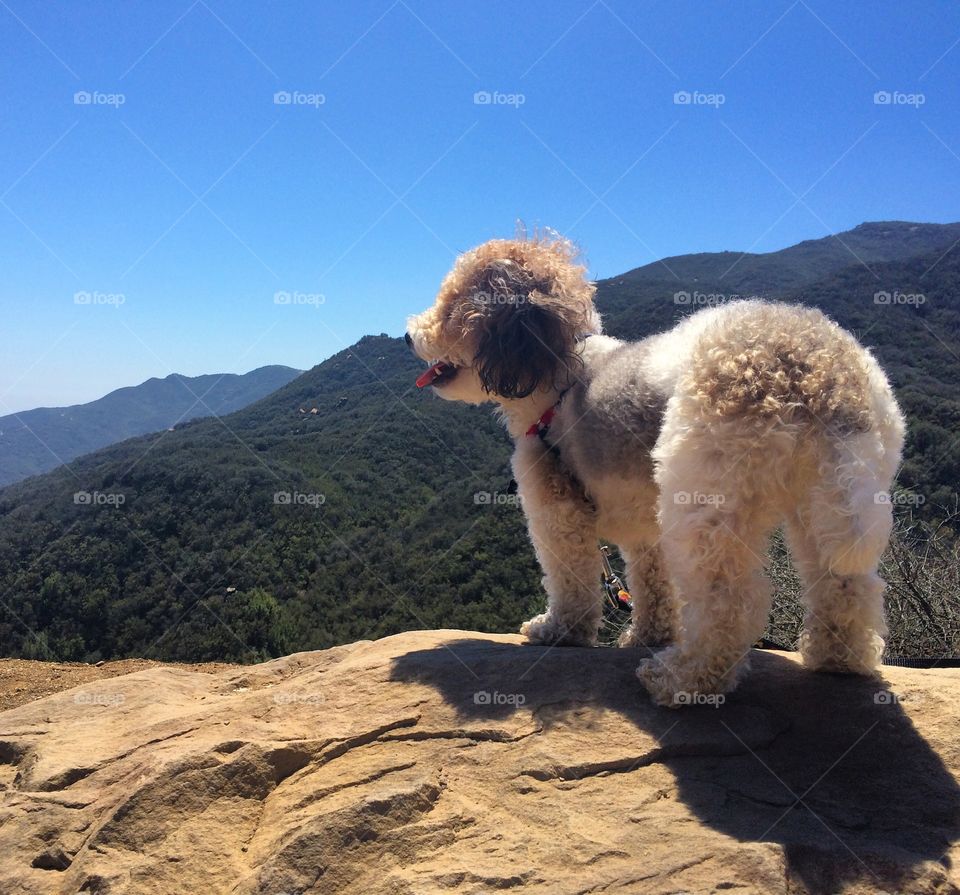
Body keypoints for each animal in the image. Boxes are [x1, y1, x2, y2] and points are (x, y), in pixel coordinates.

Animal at [404, 233, 900, 708]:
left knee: (729, 601)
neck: (558, 375)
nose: (408, 336)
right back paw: (837, 659)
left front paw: (558, 631)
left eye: (451, 305)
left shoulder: (557, 513)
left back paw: (683, 679)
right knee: (845, 584)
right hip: (826, 501)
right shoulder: (645, 526)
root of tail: (815, 369)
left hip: (705, 504)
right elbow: (653, 585)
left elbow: (570, 581)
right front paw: (647, 636)